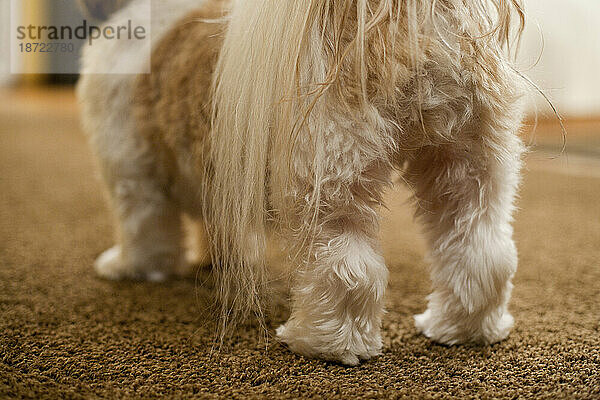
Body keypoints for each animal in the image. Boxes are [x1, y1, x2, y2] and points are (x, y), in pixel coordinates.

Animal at [78, 0, 524, 366]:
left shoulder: (130, 170)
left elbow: (144, 231)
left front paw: (129, 267)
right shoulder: (221, 184)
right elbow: (220, 227)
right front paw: (215, 259)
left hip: (327, 179)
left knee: (346, 270)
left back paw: (324, 343)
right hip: (469, 163)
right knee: (481, 252)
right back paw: (463, 329)